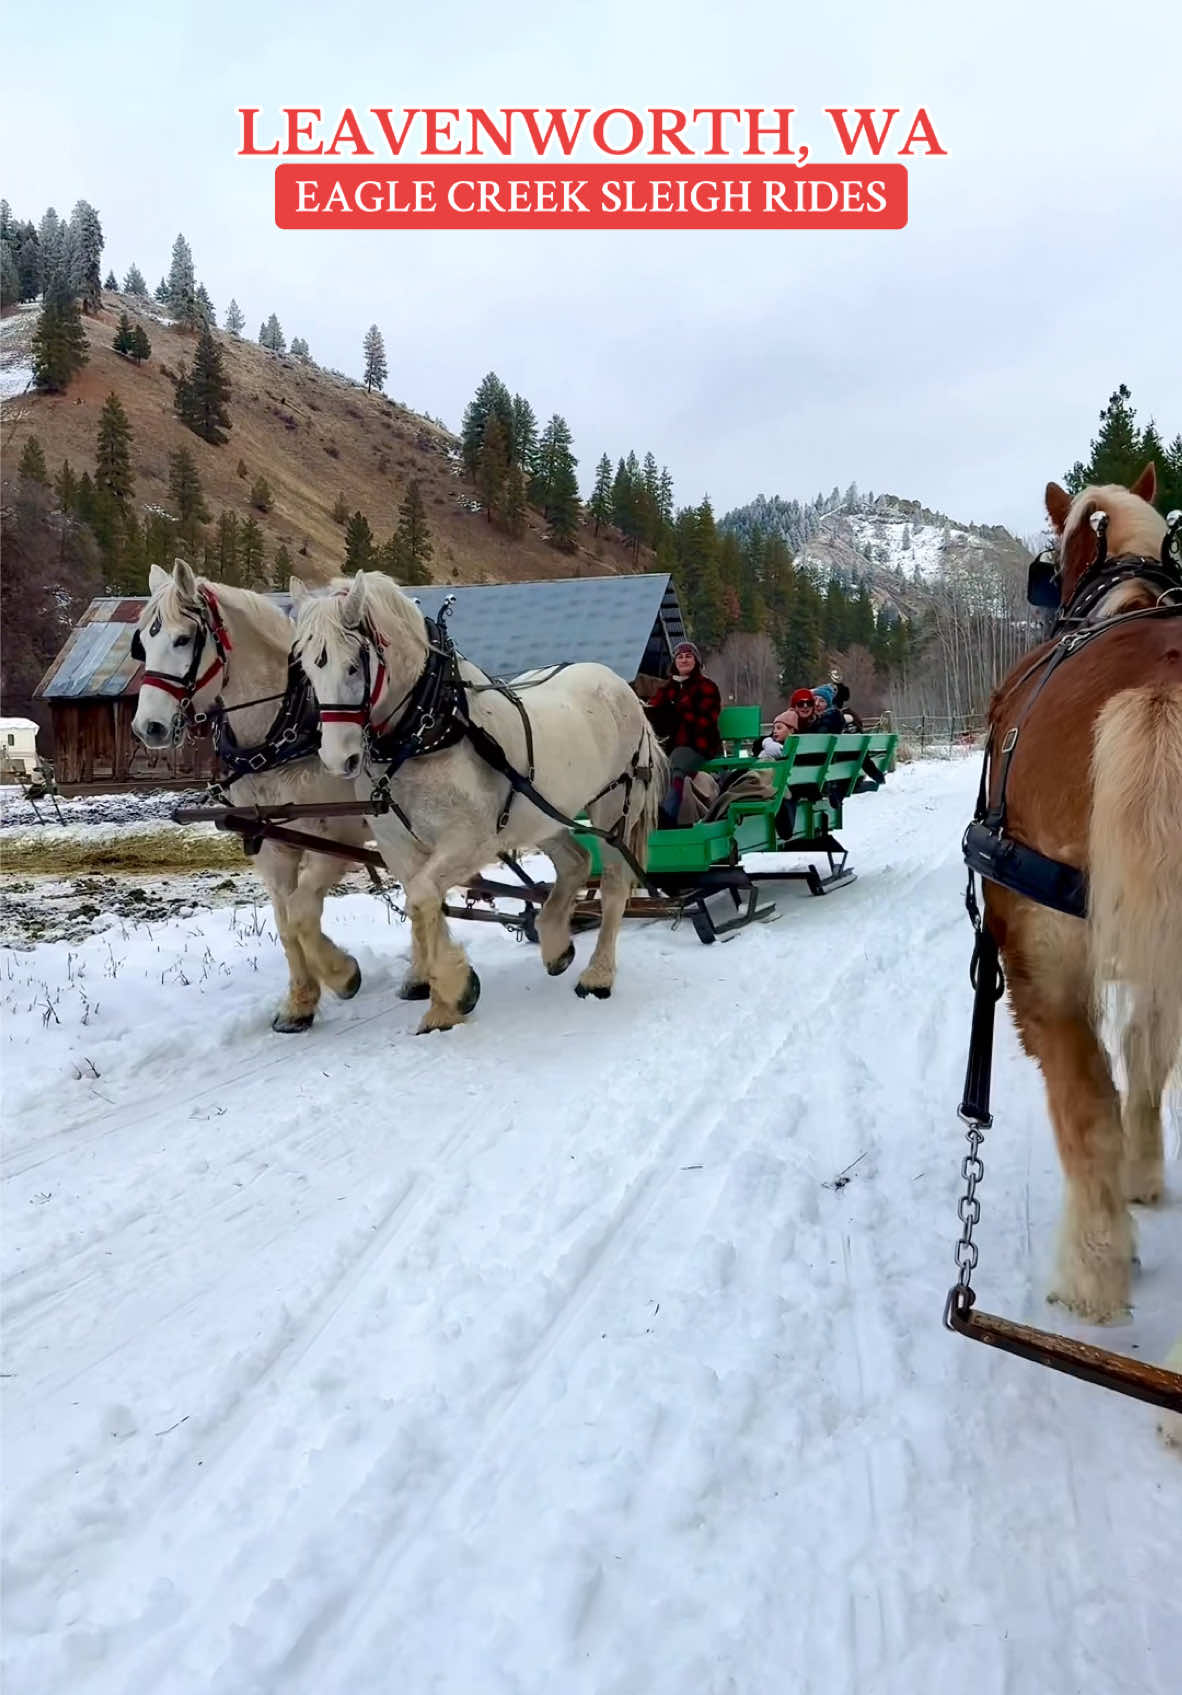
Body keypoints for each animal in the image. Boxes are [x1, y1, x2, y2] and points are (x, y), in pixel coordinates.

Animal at [129, 562, 371, 1023]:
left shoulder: (338, 838)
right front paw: (299, 1002)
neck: (281, 731)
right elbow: (285, 921)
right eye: (144, 643)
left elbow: (301, 914)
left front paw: (343, 974)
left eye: (182, 639)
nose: (148, 727)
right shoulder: (272, 845)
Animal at [289, 569, 668, 1030]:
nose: (337, 758)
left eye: (352, 665)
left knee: (613, 886)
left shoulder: (470, 842)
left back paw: (598, 975)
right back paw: (555, 943)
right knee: (575, 862)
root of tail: (618, 685)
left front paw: (454, 993)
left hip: (615, 807)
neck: (429, 726)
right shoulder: (398, 845)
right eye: (307, 669)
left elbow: (421, 898)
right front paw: (355, 976)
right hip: (542, 813)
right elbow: (413, 904)